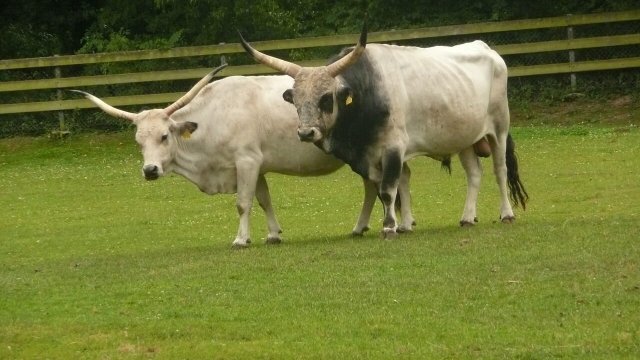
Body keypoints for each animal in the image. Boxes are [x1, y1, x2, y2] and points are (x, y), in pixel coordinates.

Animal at [72, 63, 418, 246]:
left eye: (164, 135)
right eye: (138, 141)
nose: (150, 170)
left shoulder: (246, 162)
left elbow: (243, 202)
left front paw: (241, 239)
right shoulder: (257, 167)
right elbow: (264, 199)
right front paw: (273, 234)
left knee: (395, 179)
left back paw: (400, 223)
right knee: (377, 184)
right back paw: (365, 226)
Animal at [240, 21, 528, 238]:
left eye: (326, 98)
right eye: (296, 100)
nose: (306, 133)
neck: (366, 93)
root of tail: (488, 50)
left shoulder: (393, 148)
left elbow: (388, 190)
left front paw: (390, 227)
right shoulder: (369, 157)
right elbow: (394, 186)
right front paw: (403, 224)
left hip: (499, 129)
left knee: (500, 170)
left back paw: (506, 213)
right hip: (464, 137)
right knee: (474, 173)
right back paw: (467, 217)